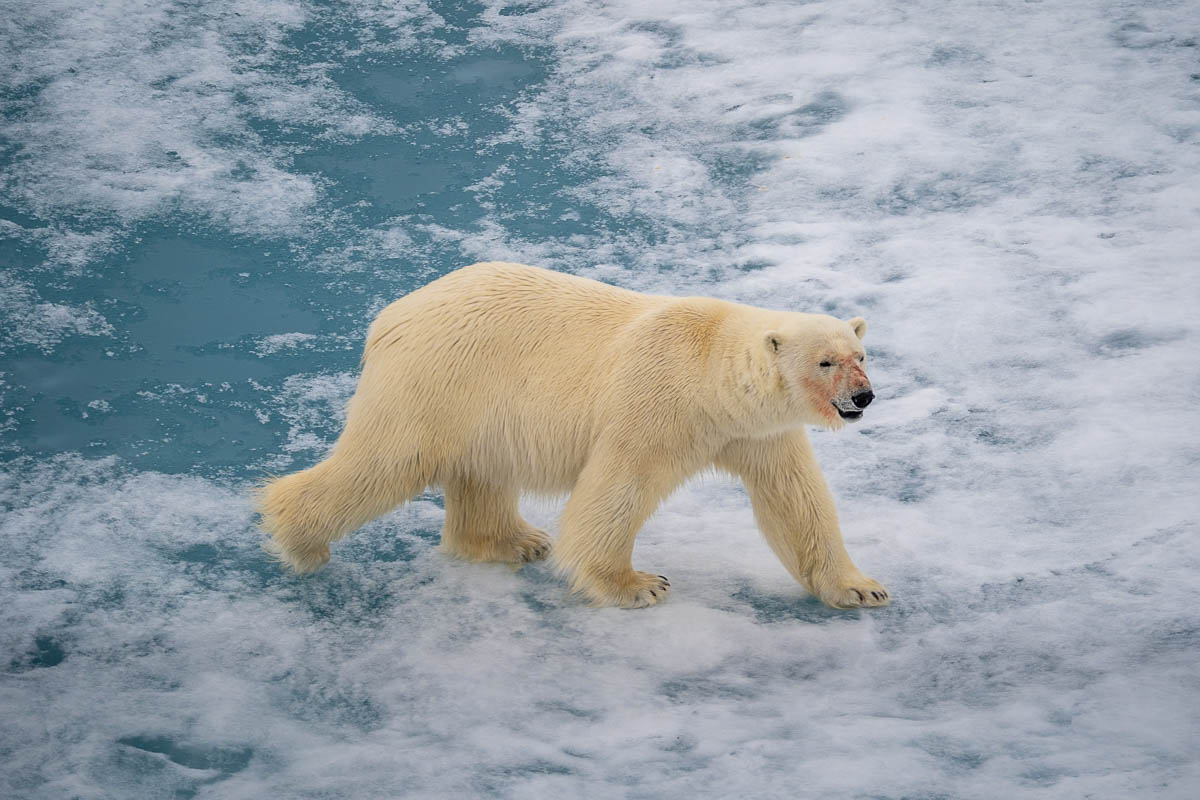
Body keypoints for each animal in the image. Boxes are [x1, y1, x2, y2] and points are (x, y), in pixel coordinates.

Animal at [257, 261, 888, 609]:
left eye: (859, 354)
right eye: (825, 362)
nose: (863, 397)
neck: (709, 369)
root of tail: (388, 318)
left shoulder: (756, 432)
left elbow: (795, 500)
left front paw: (861, 589)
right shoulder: (657, 407)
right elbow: (616, 490)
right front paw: (637, 584)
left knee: (482, 473)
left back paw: (512, 541)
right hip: (437, 379)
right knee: (384, 462)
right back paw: (298, 539)